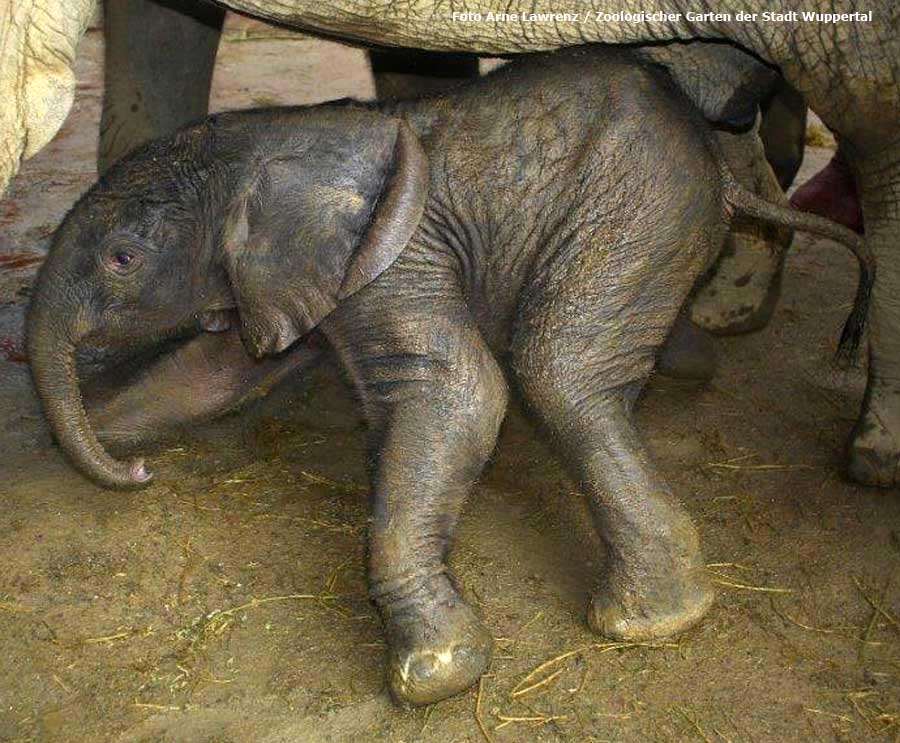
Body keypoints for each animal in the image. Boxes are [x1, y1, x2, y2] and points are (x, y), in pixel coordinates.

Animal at [1, 1, 900, 488]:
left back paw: (871, 452)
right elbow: (215, 374)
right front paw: (109, 414)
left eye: (122, 259)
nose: (137, 478)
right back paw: (713, 328)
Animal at [29, 46, 872, 708]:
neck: (269, 140)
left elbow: (459, 394)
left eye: (123, 258)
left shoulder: (398, 254)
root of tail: (723, 172)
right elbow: (211, 375)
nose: (138, 475)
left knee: (557, 368)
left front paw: (436, 675)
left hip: (635, 206)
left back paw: (649, 621)